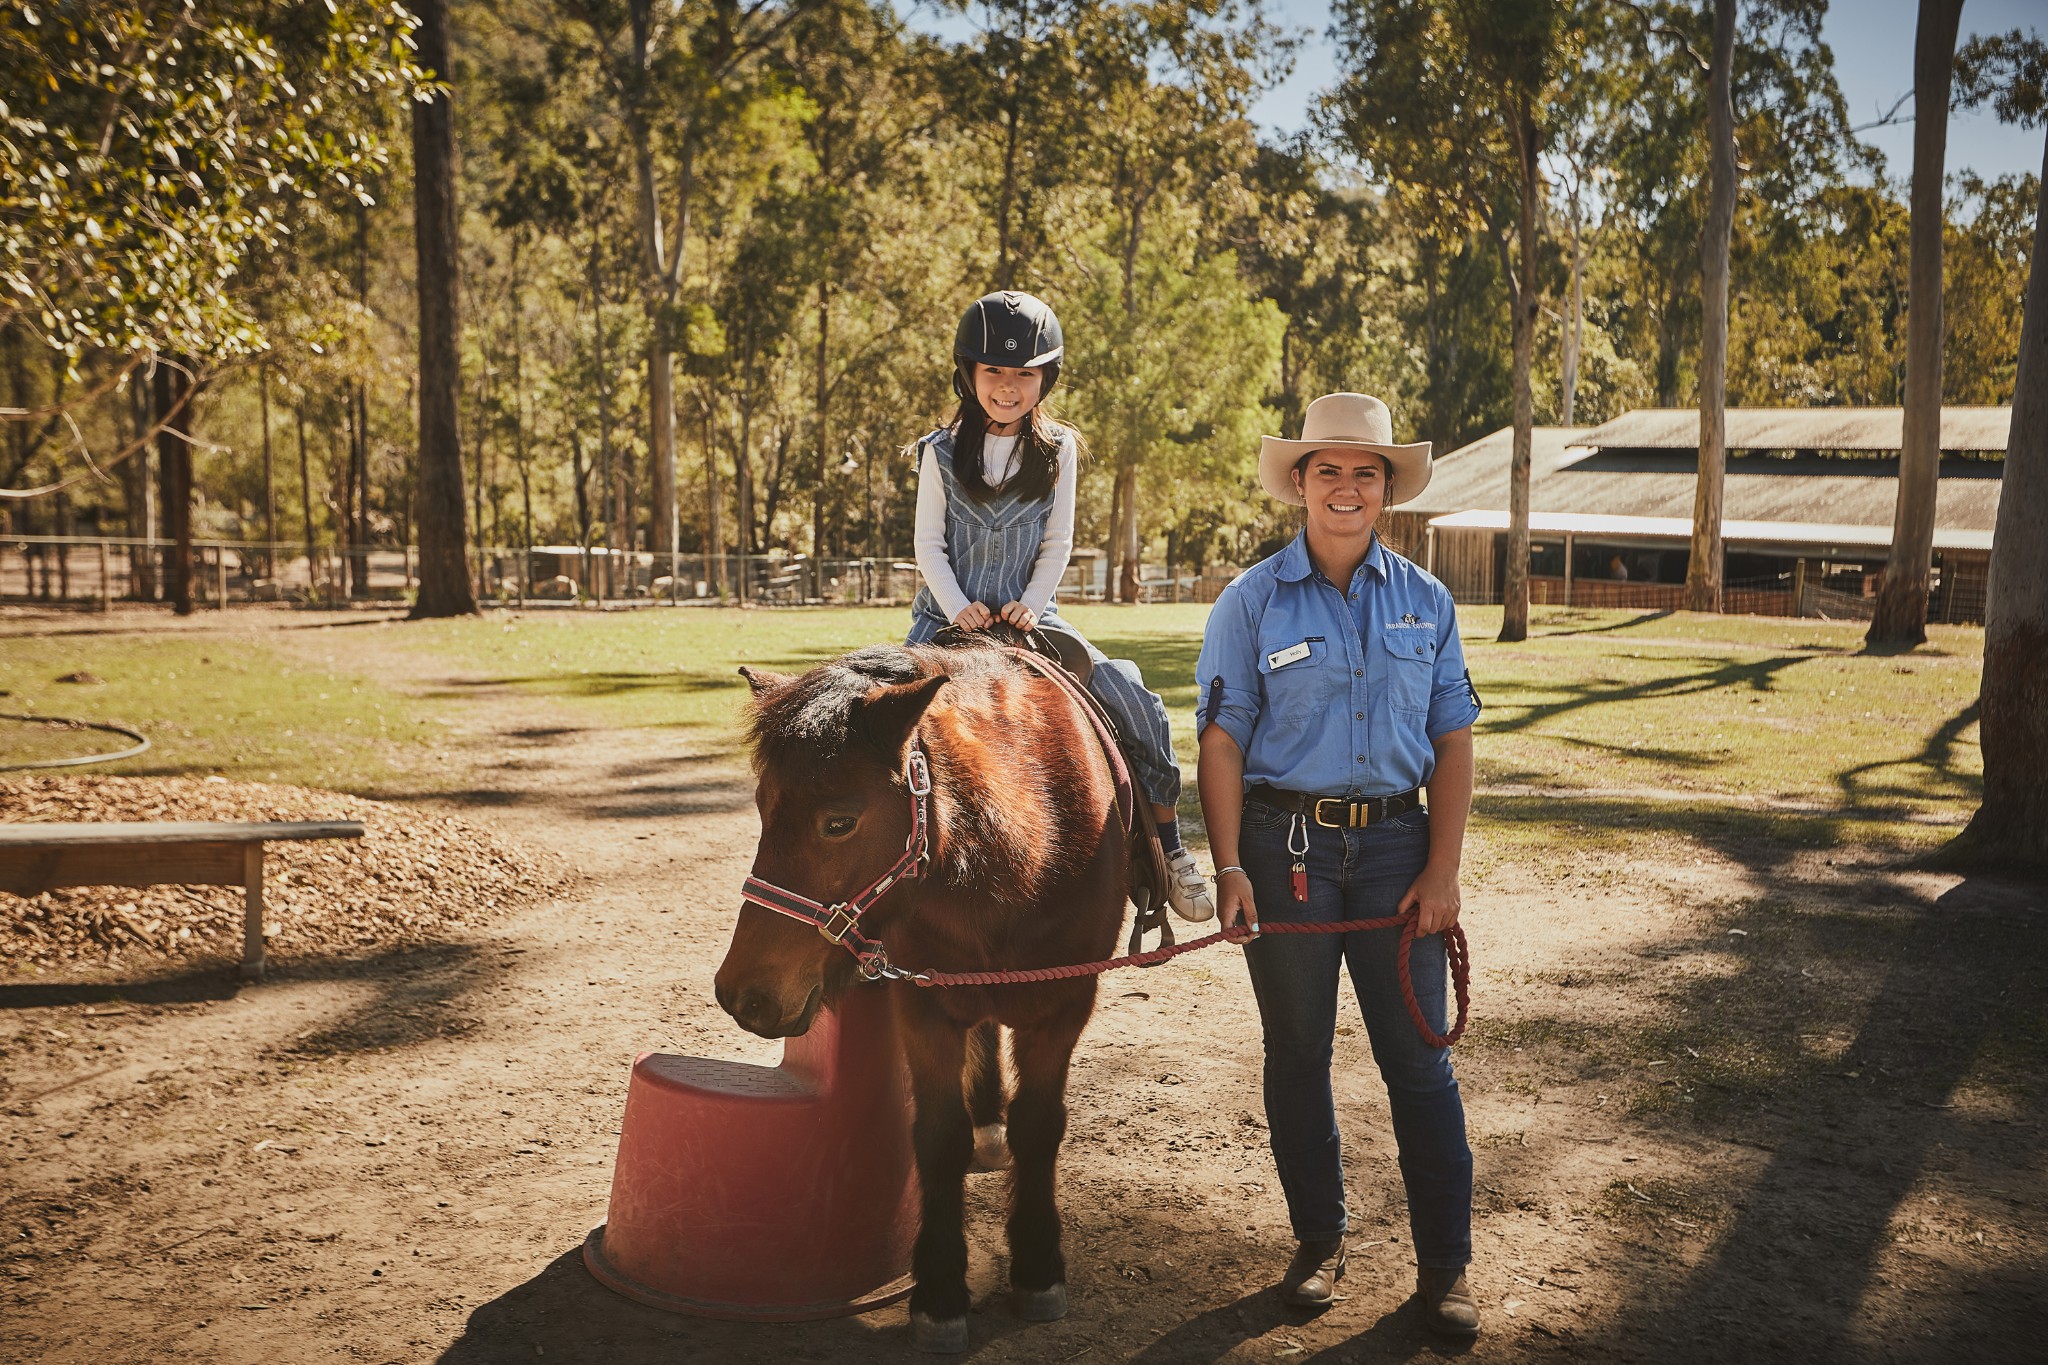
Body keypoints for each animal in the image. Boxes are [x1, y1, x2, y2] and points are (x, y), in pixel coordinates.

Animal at [716, 642, 1138, 1358]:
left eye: (839, 822)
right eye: (762, 808)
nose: (741, 995)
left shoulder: (1064, 1003)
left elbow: (1039, 1124)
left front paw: (1038, 1268)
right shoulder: (925, 1005)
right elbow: (939, 1136)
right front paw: (940, 1295)